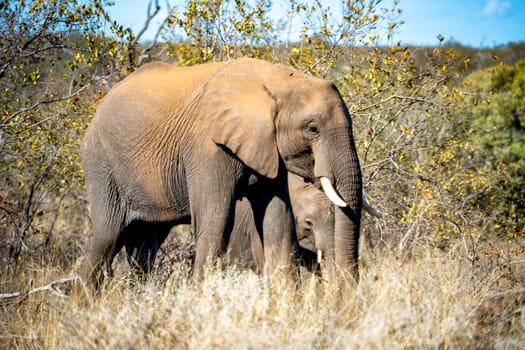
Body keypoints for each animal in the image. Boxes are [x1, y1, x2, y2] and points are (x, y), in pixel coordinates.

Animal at [79, 57, 360, 290]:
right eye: (313, 129)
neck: (275, 80)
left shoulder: (268, 149)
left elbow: (278, 223)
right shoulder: (206, 147)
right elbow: (217, 221)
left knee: (144, 247)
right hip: (101, 163)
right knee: (107, 238)